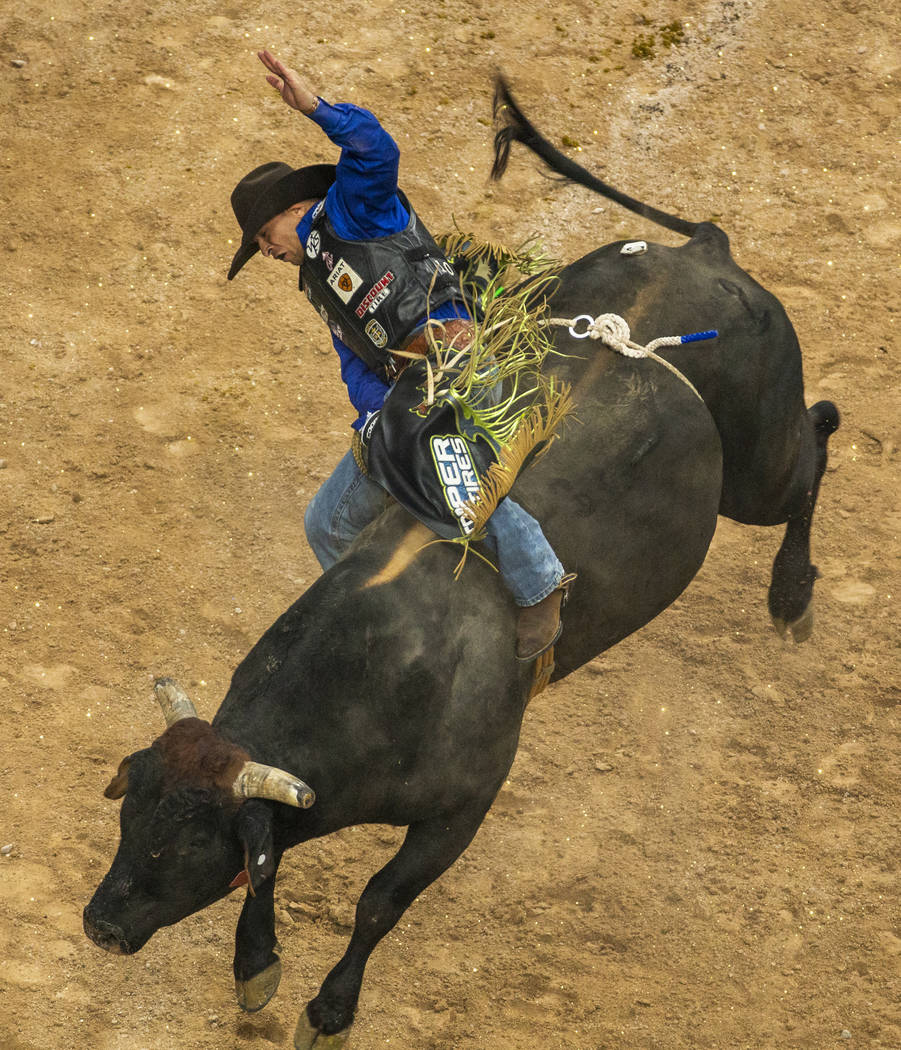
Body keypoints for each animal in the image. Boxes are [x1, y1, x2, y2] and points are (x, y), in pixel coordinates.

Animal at [82, 92, 835, 1050]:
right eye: (126, 811)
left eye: (180, 842)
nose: (99, 924)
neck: (381, 674)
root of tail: (704, 249)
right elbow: (268, 868)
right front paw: (257, 971)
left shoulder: (462, 808)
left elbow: (377, 902)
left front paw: (329, 1011)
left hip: (758, 467)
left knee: (815, 441)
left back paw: (791, 595)